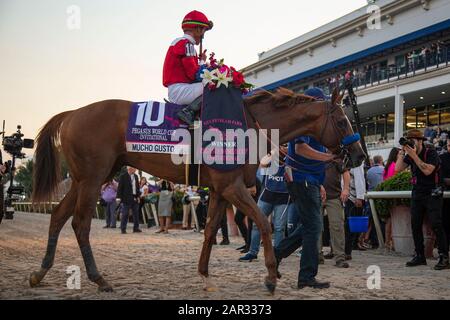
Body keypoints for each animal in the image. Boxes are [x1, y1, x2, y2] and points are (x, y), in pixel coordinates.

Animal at [29, 87, 366, 292]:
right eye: (342, 121)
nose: (360, 155)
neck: (249, 123)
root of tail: (73, 113)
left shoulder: (219, 189)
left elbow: (210, 229)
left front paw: (204, 273)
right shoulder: (232, 187)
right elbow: (262, 223)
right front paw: (271, 276)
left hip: (88, 178)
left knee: (58, 216)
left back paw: (40, 272)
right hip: (93, 177)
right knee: (80, 223)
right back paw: (99, 279)